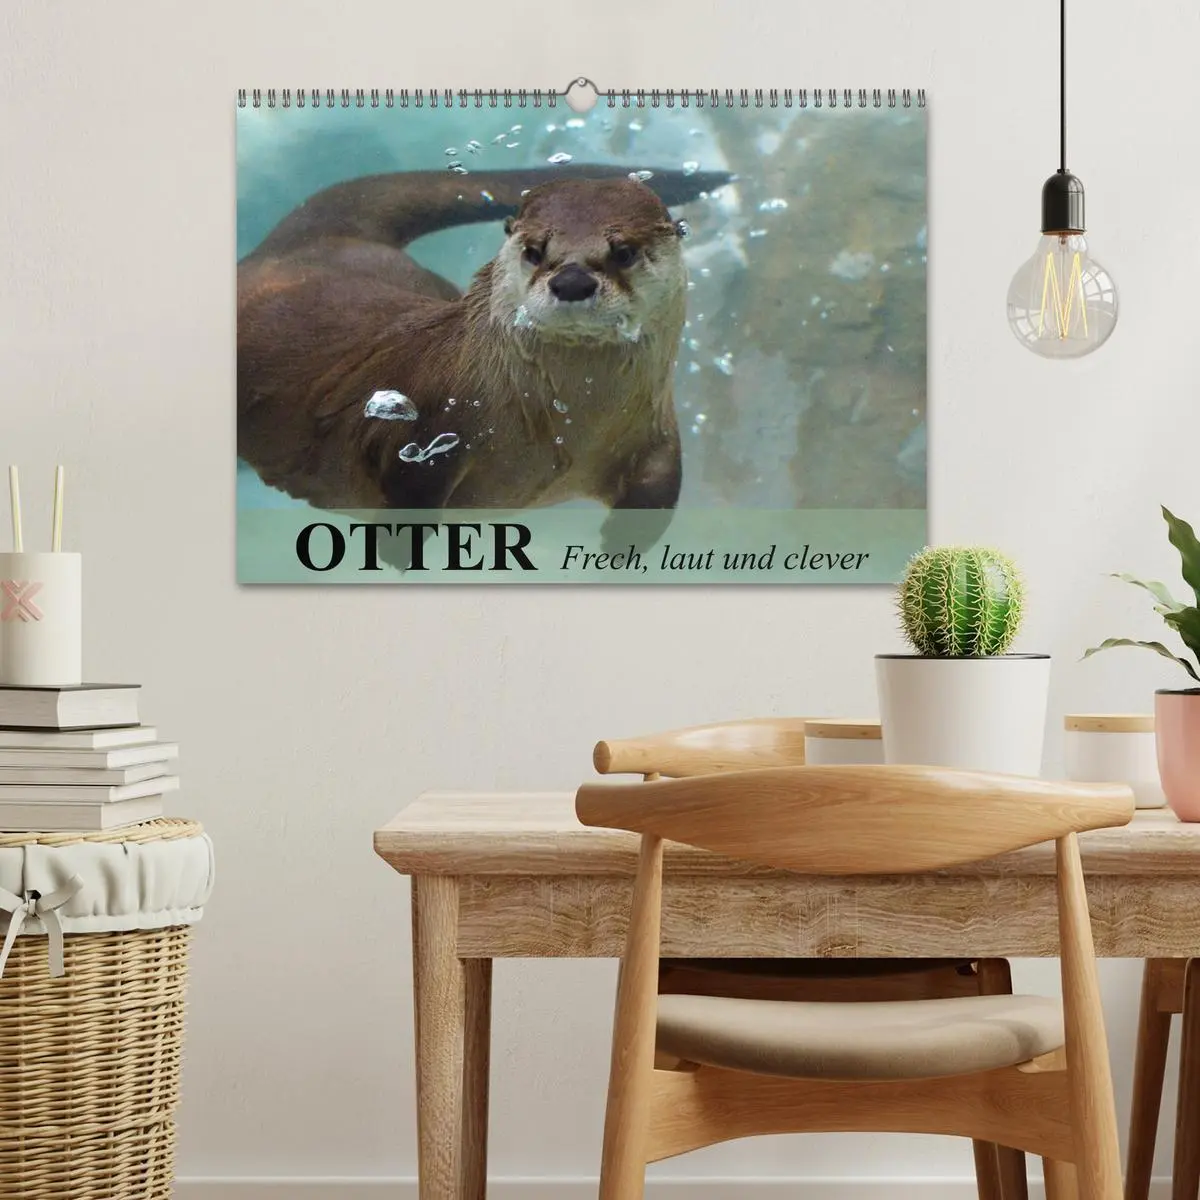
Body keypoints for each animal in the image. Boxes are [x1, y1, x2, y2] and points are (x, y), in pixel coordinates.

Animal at [236, 164, 728, 554]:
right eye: (534, 251)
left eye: (623, 252)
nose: (571, 281)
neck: (568, 427)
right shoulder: (430, 429)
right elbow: (409, 490)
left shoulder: (655, 431)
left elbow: (658, 494)